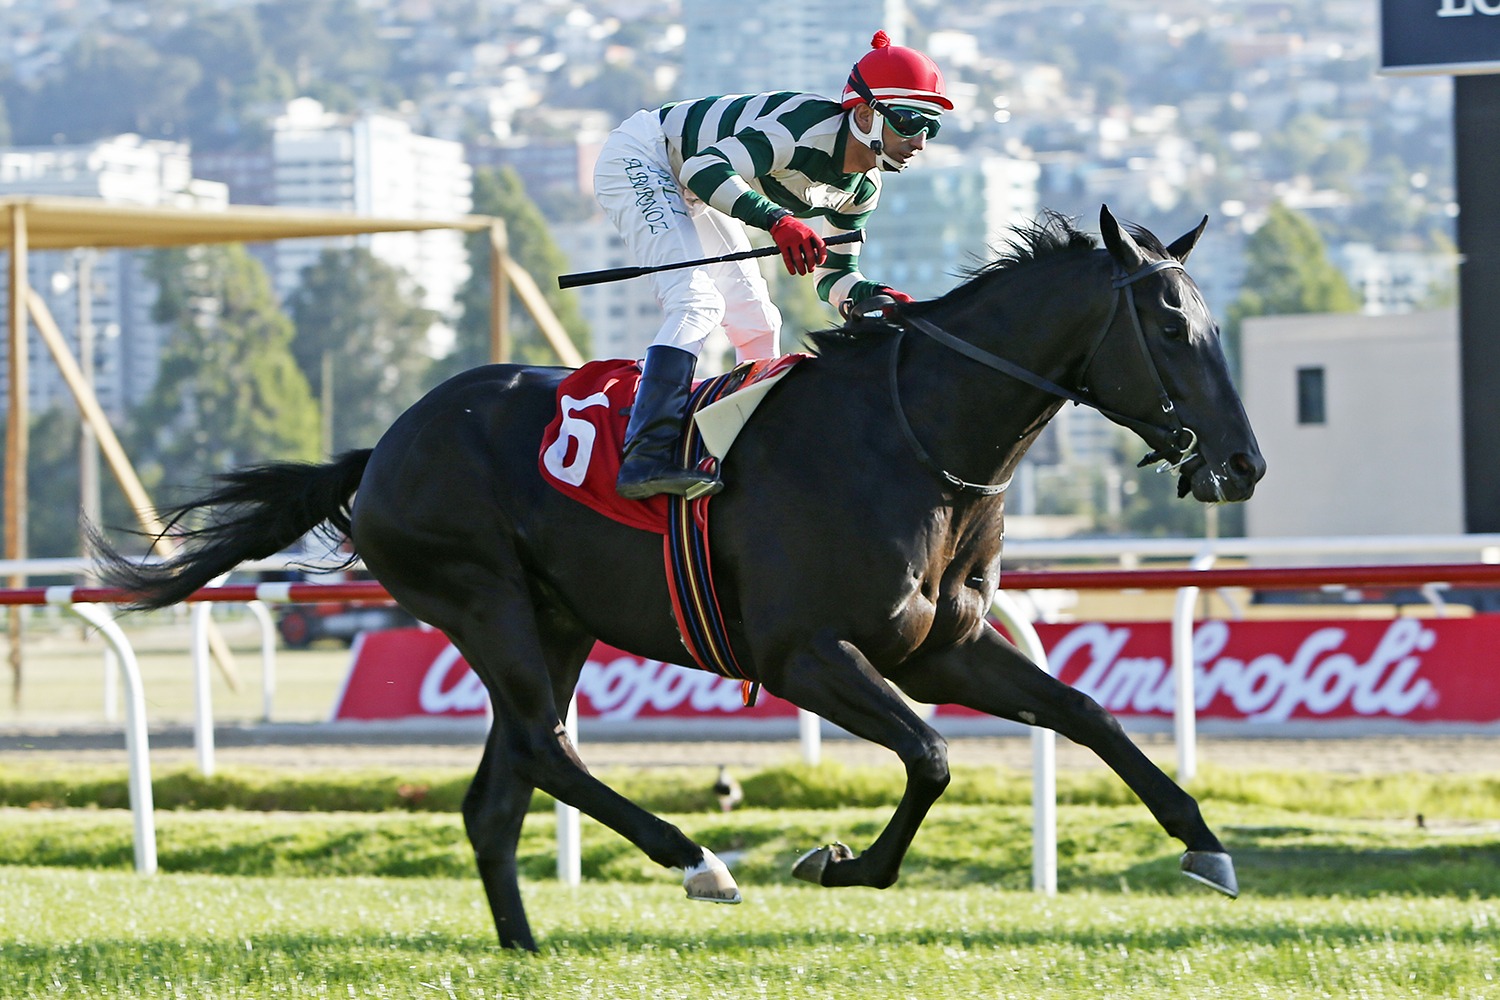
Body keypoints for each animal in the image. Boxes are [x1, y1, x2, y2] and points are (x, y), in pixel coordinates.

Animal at [99, 206, 1265, 951]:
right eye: (1169, 325)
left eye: (1215, 320)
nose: (1244, 463)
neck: (910, 437)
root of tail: (380, 446)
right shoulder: (805, 654)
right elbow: (931, 758)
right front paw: (838, 863)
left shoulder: (945, 647)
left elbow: (1085, 712)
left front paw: (1205, 846)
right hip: (485, 601)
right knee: (544, 750)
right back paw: (699, 860)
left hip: (556, 623)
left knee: (497, 796)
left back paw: (526, 948)